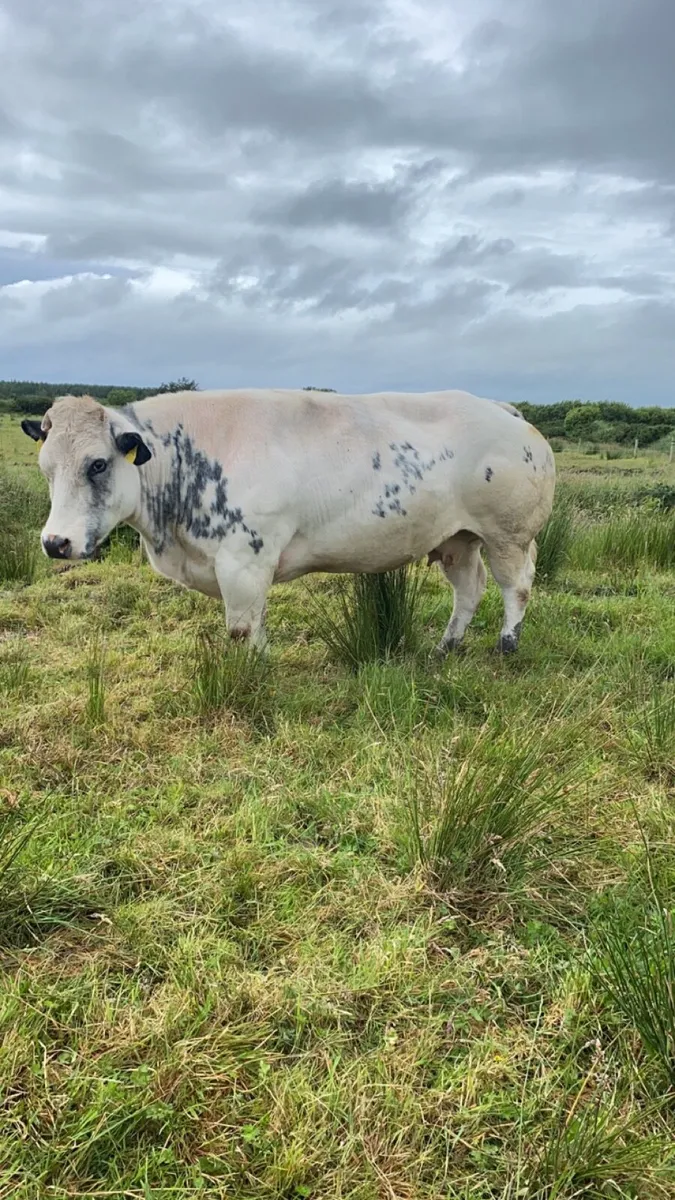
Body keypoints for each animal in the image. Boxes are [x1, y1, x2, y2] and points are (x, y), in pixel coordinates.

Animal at [22, 388, 555, 655]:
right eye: (45, 466)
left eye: (97, 464)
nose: (55, 542)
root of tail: (502, 409)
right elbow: (255, 625)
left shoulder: (243, 561)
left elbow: (241, 630)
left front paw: (248, 676)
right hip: (458, 539)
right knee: (470, 588)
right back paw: (446, 646)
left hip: (508, 533)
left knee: (517, 585)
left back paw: (506, 644)